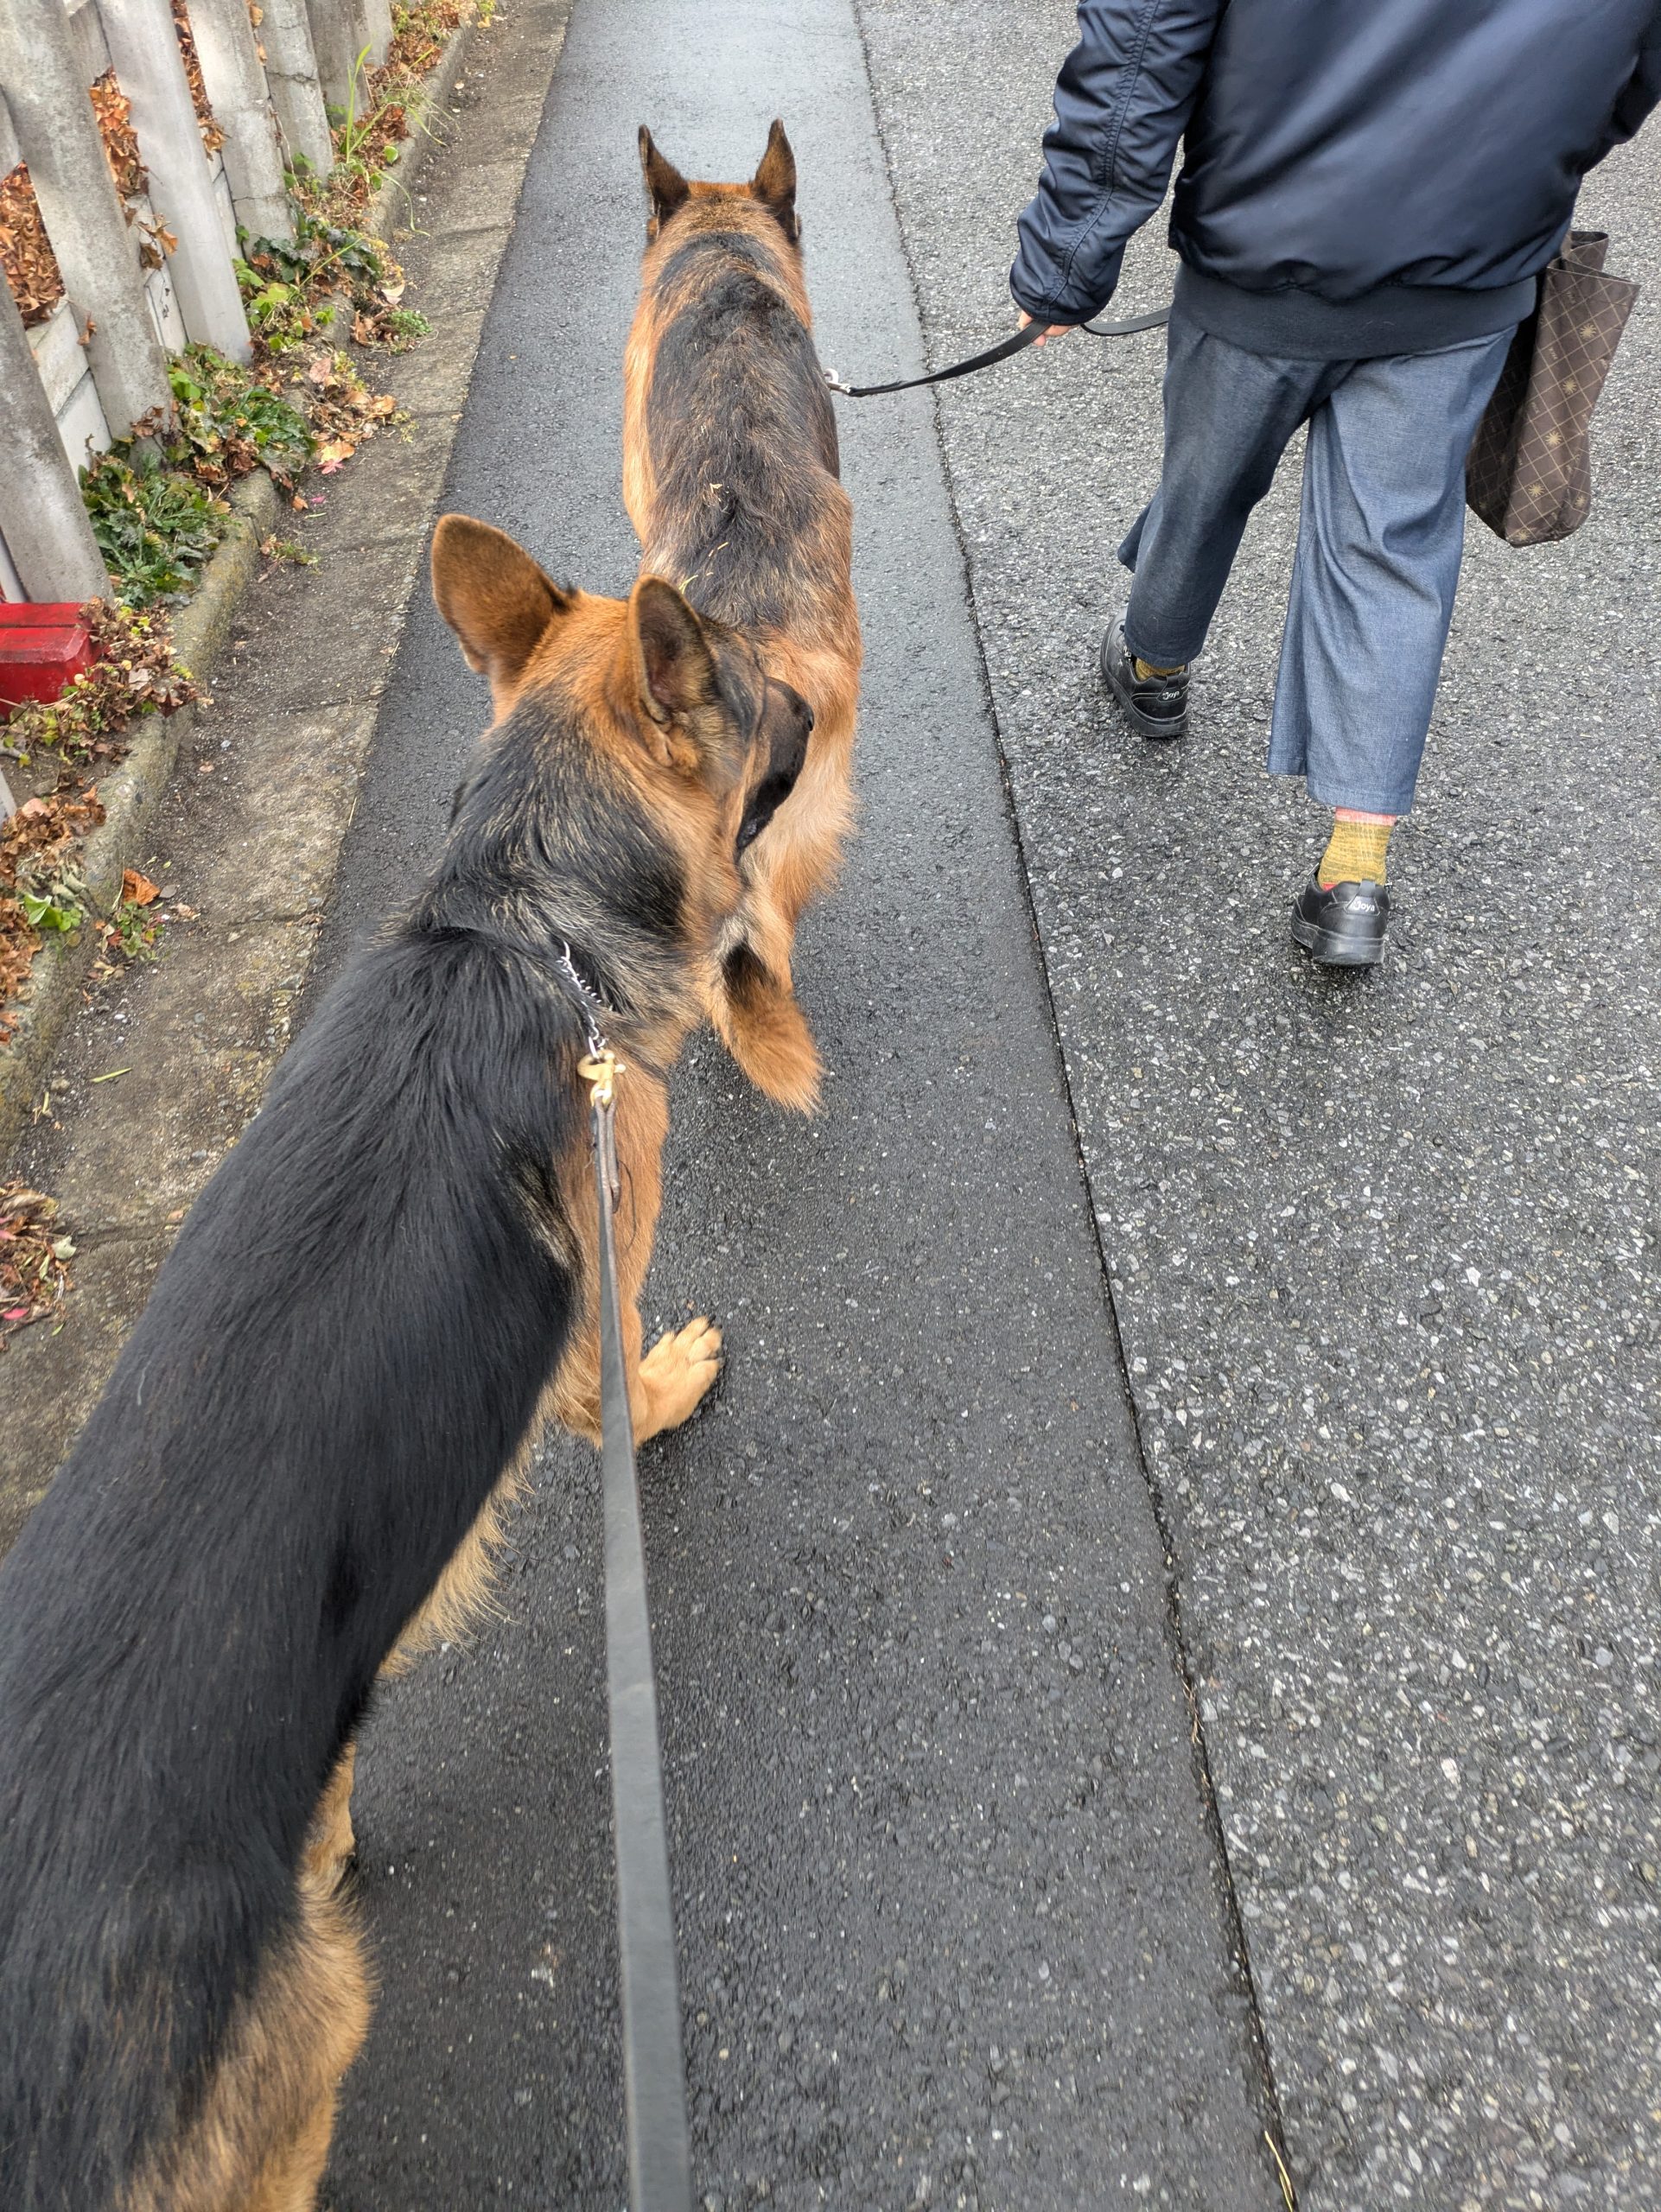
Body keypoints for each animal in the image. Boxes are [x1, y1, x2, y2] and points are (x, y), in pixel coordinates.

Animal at [0, 522, 813, 2212]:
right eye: (760, 694)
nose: (822, 709)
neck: (523, 915)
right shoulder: (598, 1279)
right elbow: (622, 1392)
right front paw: (674, 1389)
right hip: (312, 2039)